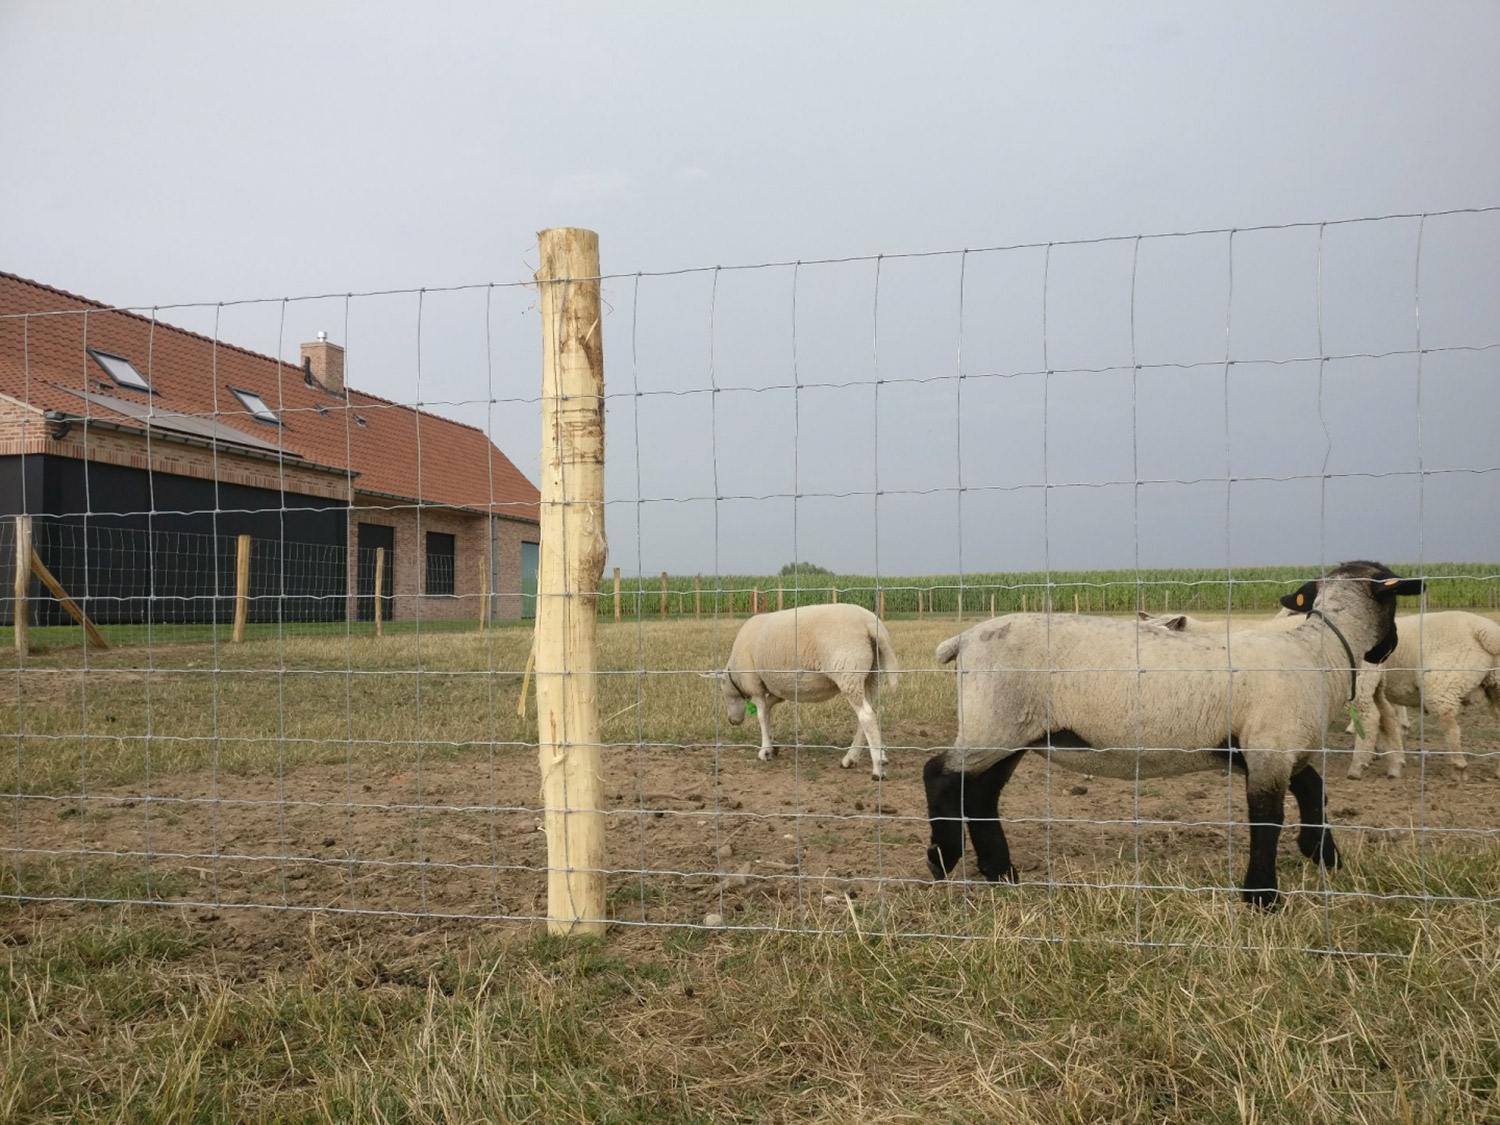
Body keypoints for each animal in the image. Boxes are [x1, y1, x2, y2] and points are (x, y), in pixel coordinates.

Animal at [714, 603, 900, 780]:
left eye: (723, 692)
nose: (732, 721)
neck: (735, 674)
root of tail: (869, 623)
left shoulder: (754, 683)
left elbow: (761, 715)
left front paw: (765, 750)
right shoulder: (777, 690)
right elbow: (767, 710)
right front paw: (773, 744)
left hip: (848, 671)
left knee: (867, 716)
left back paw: (877, 769)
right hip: (872, 675)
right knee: (871, 713)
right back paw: (853, 758)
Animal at [918, 561, 1422, 912]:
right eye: (1395, 599)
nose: (1389, 648)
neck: (1321, 650)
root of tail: (964, 640)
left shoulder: (1273, 744)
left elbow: (1314, 789)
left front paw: (1323, 854)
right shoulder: (1270, 746)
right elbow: (1267, 818)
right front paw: (1262, 896)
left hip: (1012, 730)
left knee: (978, 795)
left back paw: (1001, 874)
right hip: (994, 721)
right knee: (939, 774)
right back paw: (943, 858)